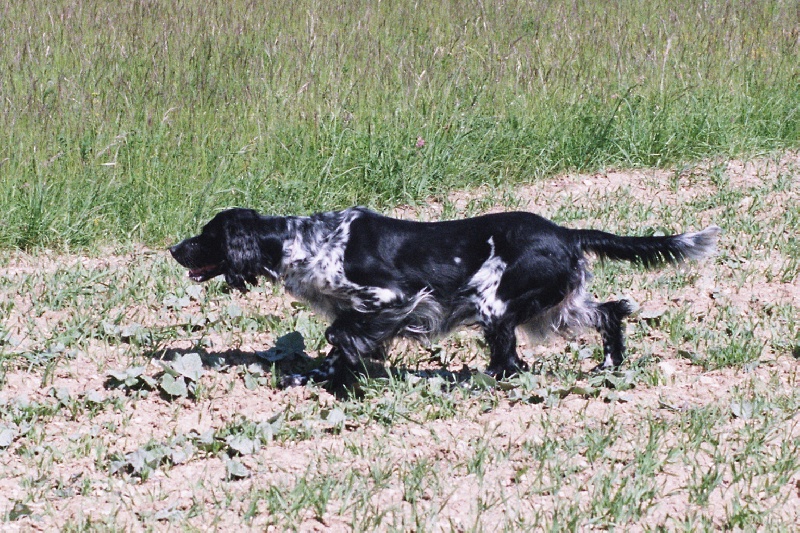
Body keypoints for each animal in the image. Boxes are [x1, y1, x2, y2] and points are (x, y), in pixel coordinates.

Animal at [169, 206, 720, 384]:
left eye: (206, 234)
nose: (174, 248)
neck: (306, 243)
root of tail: (566, 233)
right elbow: (338, 345)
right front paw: (320, 377)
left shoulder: (390, 298)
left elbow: (342, 334)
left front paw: (345, 374)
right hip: (555, 309)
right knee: (609, 312)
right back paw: (610, 366)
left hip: (496, 303)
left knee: (509, 358)